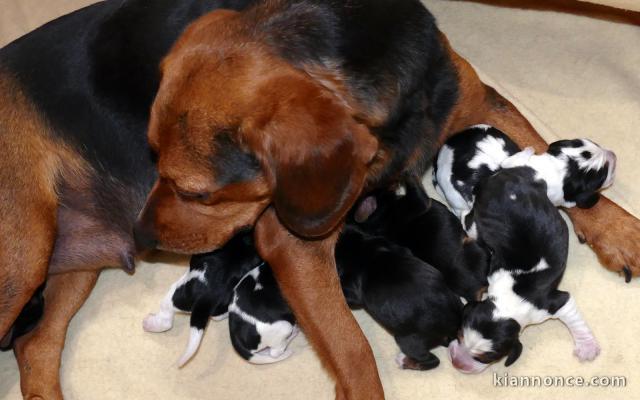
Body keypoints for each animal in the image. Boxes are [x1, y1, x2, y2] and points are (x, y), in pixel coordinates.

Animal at [448, 167, 604, 374]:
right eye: (458, 335)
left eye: (486, 358)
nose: (456, 362)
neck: (507, 304)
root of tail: (498, 179)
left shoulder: (556, 303)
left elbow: (576, 321)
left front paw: (587, 347)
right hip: (479, 221)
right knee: (467, 216)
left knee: (467, 216)